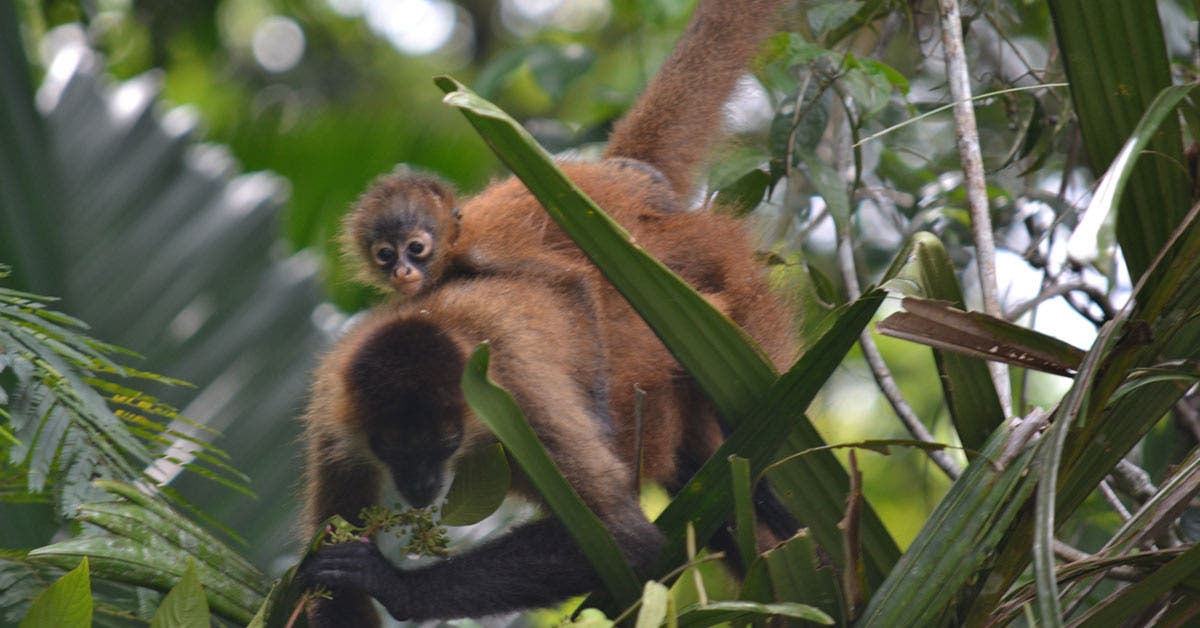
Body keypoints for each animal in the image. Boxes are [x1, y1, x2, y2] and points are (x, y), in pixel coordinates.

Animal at [302, 0, 796, 624]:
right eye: (391, 447)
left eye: (444, 442)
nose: (420, 485)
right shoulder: (333, 408)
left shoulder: (516, 392)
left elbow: (627, 540)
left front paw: (395, 585)